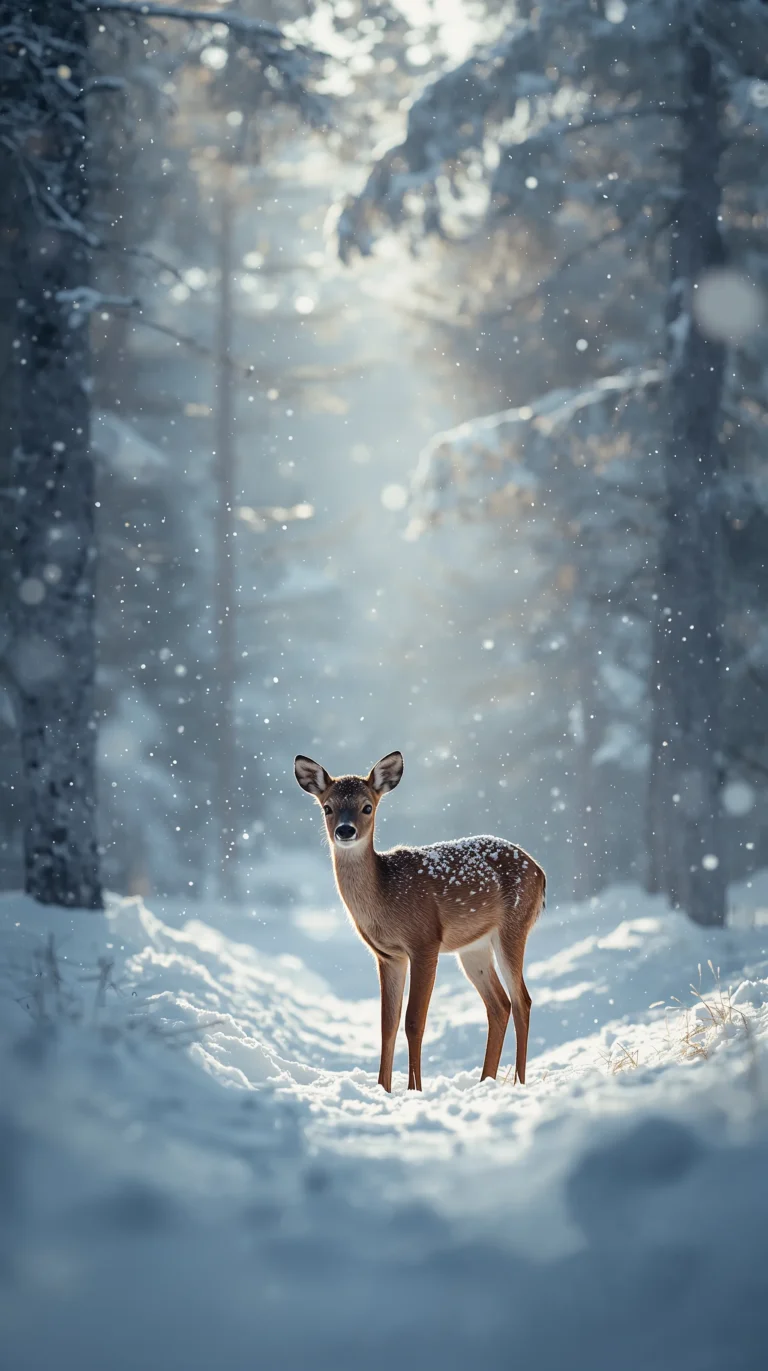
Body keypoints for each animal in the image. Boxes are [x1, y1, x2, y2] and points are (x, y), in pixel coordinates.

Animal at [294, 751, 545, 1093]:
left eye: (367, 806)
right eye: (327, 807)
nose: (345, 831)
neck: (385, 896)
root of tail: (541, 872)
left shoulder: (424, 940)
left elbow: (414, 1020)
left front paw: (415, 1089)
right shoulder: (388, 955)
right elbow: (387, 1024)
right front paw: (384, 1089)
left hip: (513, 927)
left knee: (523, 1001)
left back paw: (518, 1082)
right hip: (473, 949)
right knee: (499, 1005)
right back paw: (484, 1081)